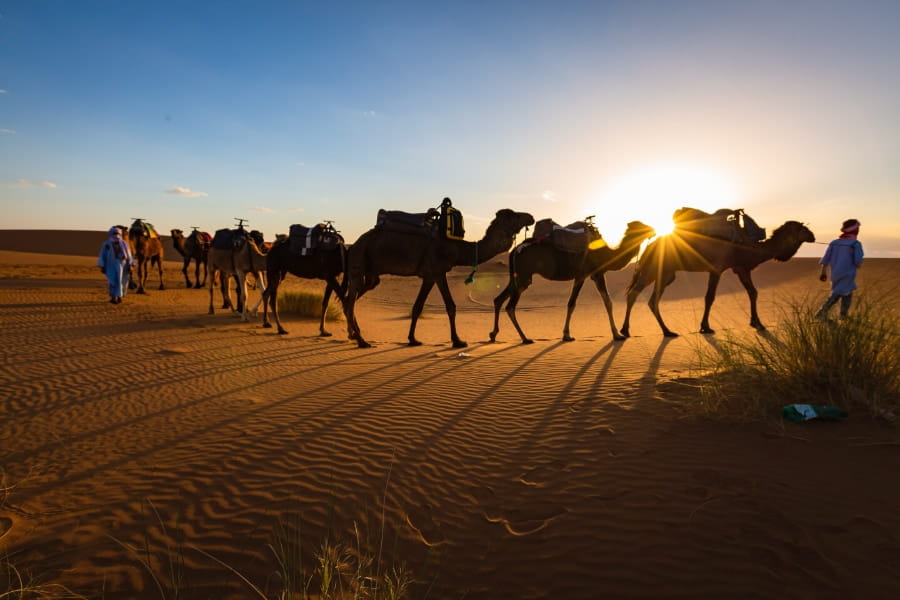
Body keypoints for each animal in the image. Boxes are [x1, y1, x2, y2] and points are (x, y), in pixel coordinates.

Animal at [344, 208, 535, 348]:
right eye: (515, 215)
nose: (531, 217)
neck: (457, 248)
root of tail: (352, 246)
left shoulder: (428, 276)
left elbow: (417, 307)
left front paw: (412, 339)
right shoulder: (438, 271)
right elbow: (450, 306)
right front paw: (458, 341)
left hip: (371, 275)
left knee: (350, 300)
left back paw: (354, 335)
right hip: (358, 264)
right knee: (350, 302)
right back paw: (362, 341)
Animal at [490, 220, 656, 344]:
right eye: (641, 226)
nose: (653, 230)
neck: (606, 254)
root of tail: (515, 250)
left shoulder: (594, 274)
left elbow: (605, 302)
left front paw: (616, 333)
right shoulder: (588, 274)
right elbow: (576, 303)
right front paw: (568, 335)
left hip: (517, 277)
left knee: (498, 299)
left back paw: (494, 334)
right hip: (524, 276)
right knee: (510, 306)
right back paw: (525, 338)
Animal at [620, 220, 815, 337]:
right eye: (803, 229)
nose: (813, 236)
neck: (750, 248)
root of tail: (649, 246)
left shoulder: (740, 268)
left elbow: (752, 292)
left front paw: (756, 322)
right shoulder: (720, 268)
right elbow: (710, 297)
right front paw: (705, 327)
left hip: (664, 272)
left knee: (643, 296)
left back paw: (649, 331)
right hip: (656, 269)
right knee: (641, 295)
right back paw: (648, 331)